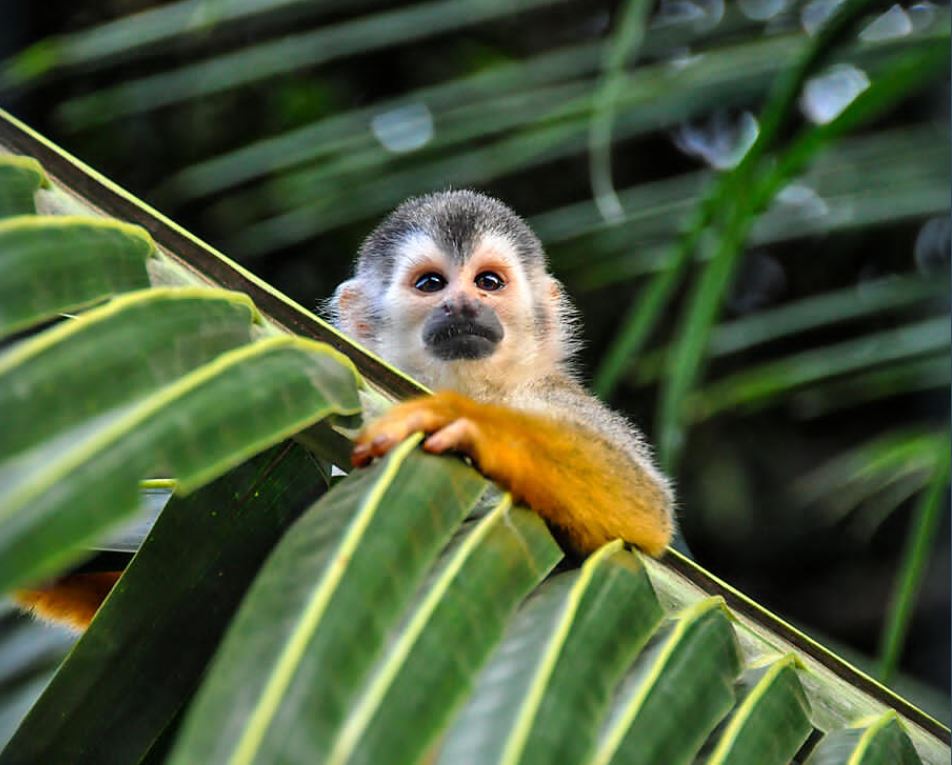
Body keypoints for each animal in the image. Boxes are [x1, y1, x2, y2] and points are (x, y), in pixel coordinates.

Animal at [334, 189, 674, 556]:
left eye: (488, 282)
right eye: (430, 283)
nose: (463, 304)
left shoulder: (552, 392)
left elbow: (647, 506)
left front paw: (465, 420)